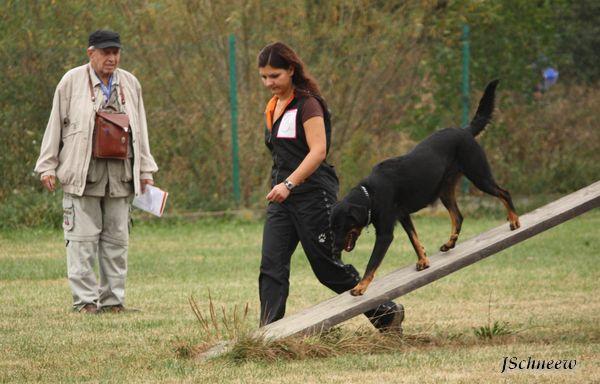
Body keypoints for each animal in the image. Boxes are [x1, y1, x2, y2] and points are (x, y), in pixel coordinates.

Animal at [330, 80, 516, 296]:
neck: (370, 194)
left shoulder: (385, 234)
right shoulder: (404, 217)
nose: (334, 251)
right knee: (458, 216)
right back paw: (450, 243)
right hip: (445, 191)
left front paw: (360, 287)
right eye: (332, 227)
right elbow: (415, 240)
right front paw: (423, 260)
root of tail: (465, 130)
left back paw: (514, 220)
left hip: (479, 176)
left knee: (504, 193)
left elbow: (372, 263)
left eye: (341, 226)